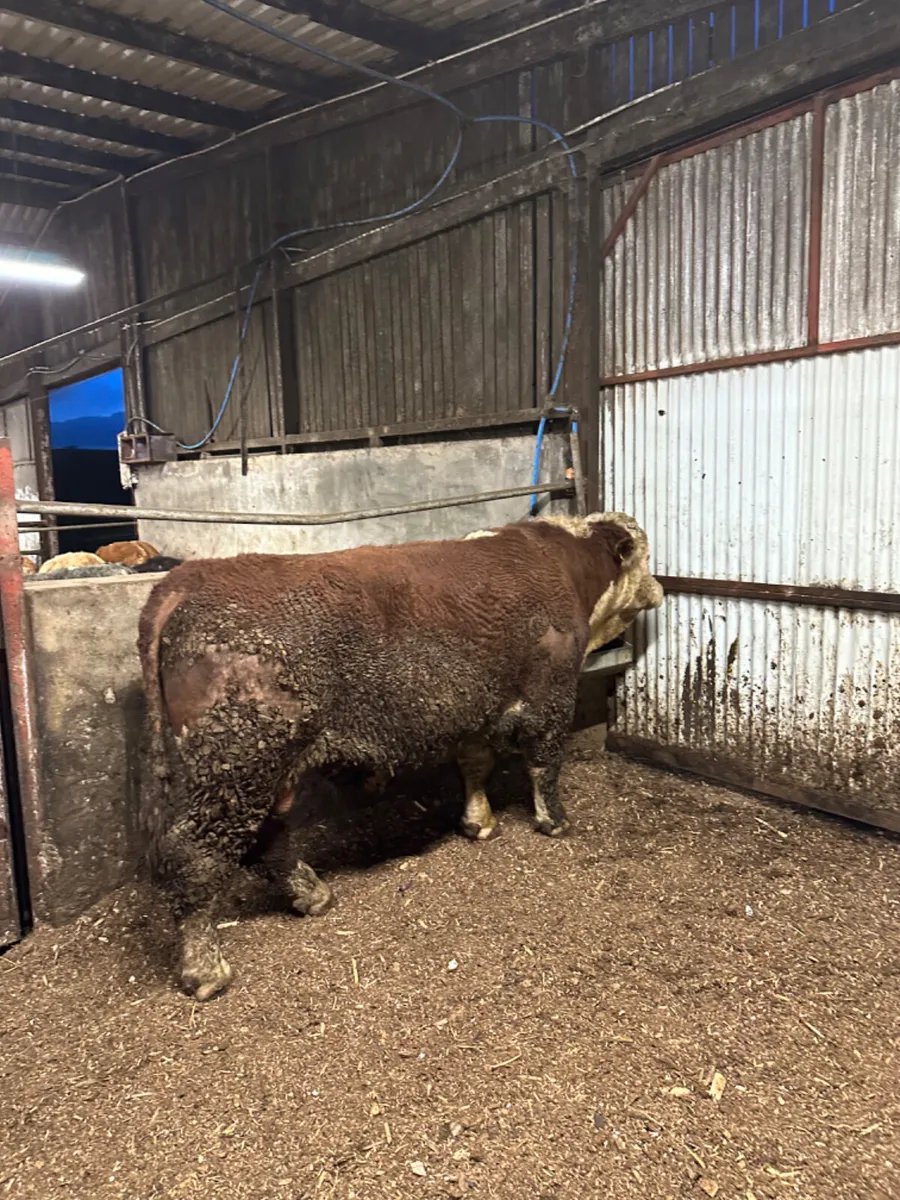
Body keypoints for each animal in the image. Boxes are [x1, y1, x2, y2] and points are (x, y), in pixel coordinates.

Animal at [138, 512, 663, 1001]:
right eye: (644, 555)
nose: (659, 589)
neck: (563, 564)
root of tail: (187, 579)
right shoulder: (551, 696)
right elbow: (545, 765)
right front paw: (553, 821)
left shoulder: (468, 711)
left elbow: (475, 765)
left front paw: (478, 823)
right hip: (237, 766)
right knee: (196, 853)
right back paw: (206, 971)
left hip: (261, 770)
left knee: (270, 836)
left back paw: (313, 895)